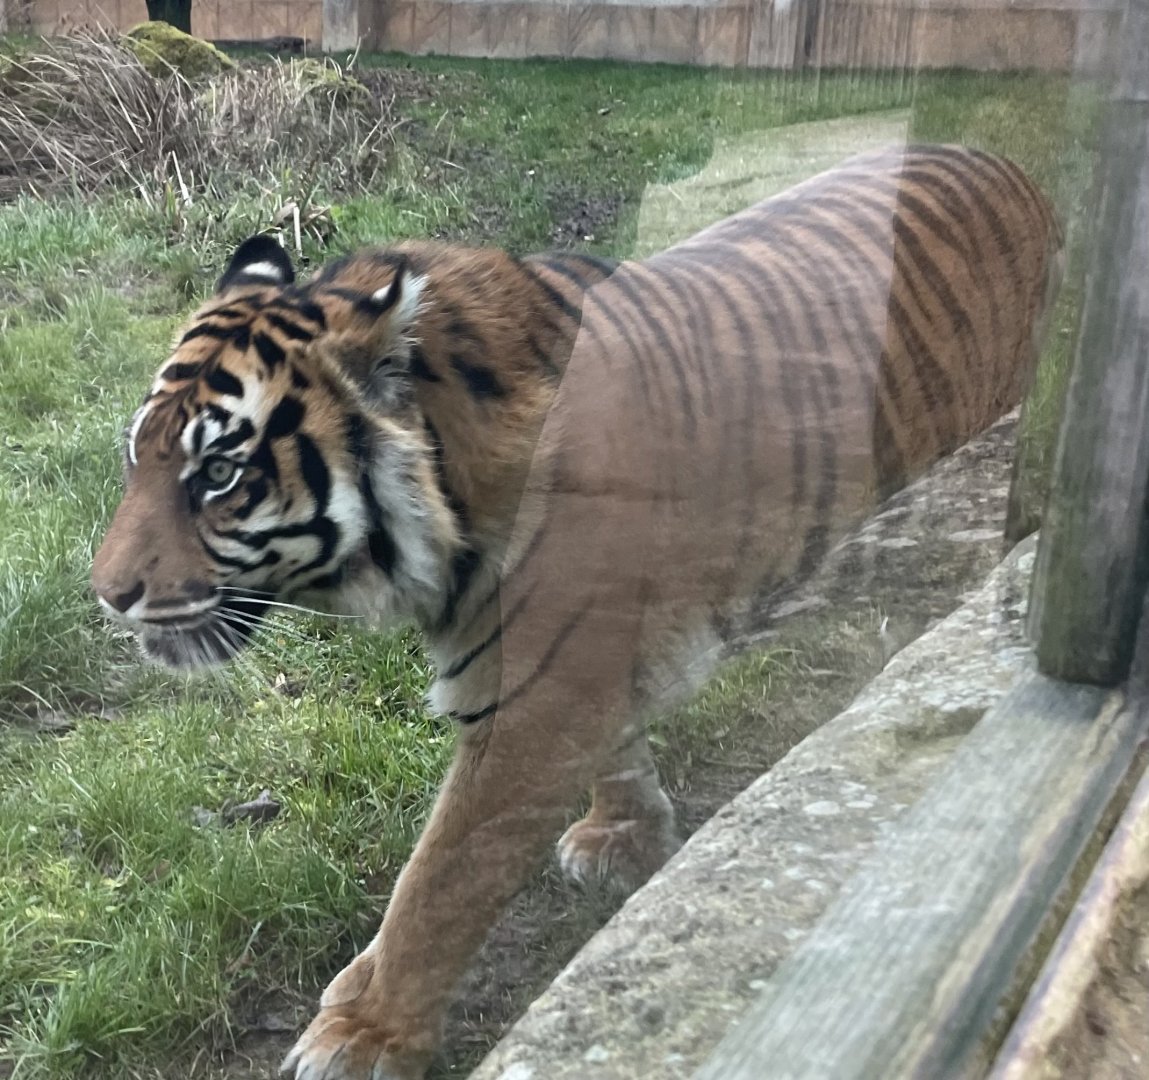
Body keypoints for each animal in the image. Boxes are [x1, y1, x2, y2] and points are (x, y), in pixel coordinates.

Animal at [91, 144, 1062, 1080]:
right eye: (137, 457)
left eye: (218, 474)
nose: (105, 593)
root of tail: (1003, 162)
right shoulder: (573, 667)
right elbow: (614, 750)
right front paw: (624, 834)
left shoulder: (532, 702)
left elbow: (439, 878)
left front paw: (364, 1032)